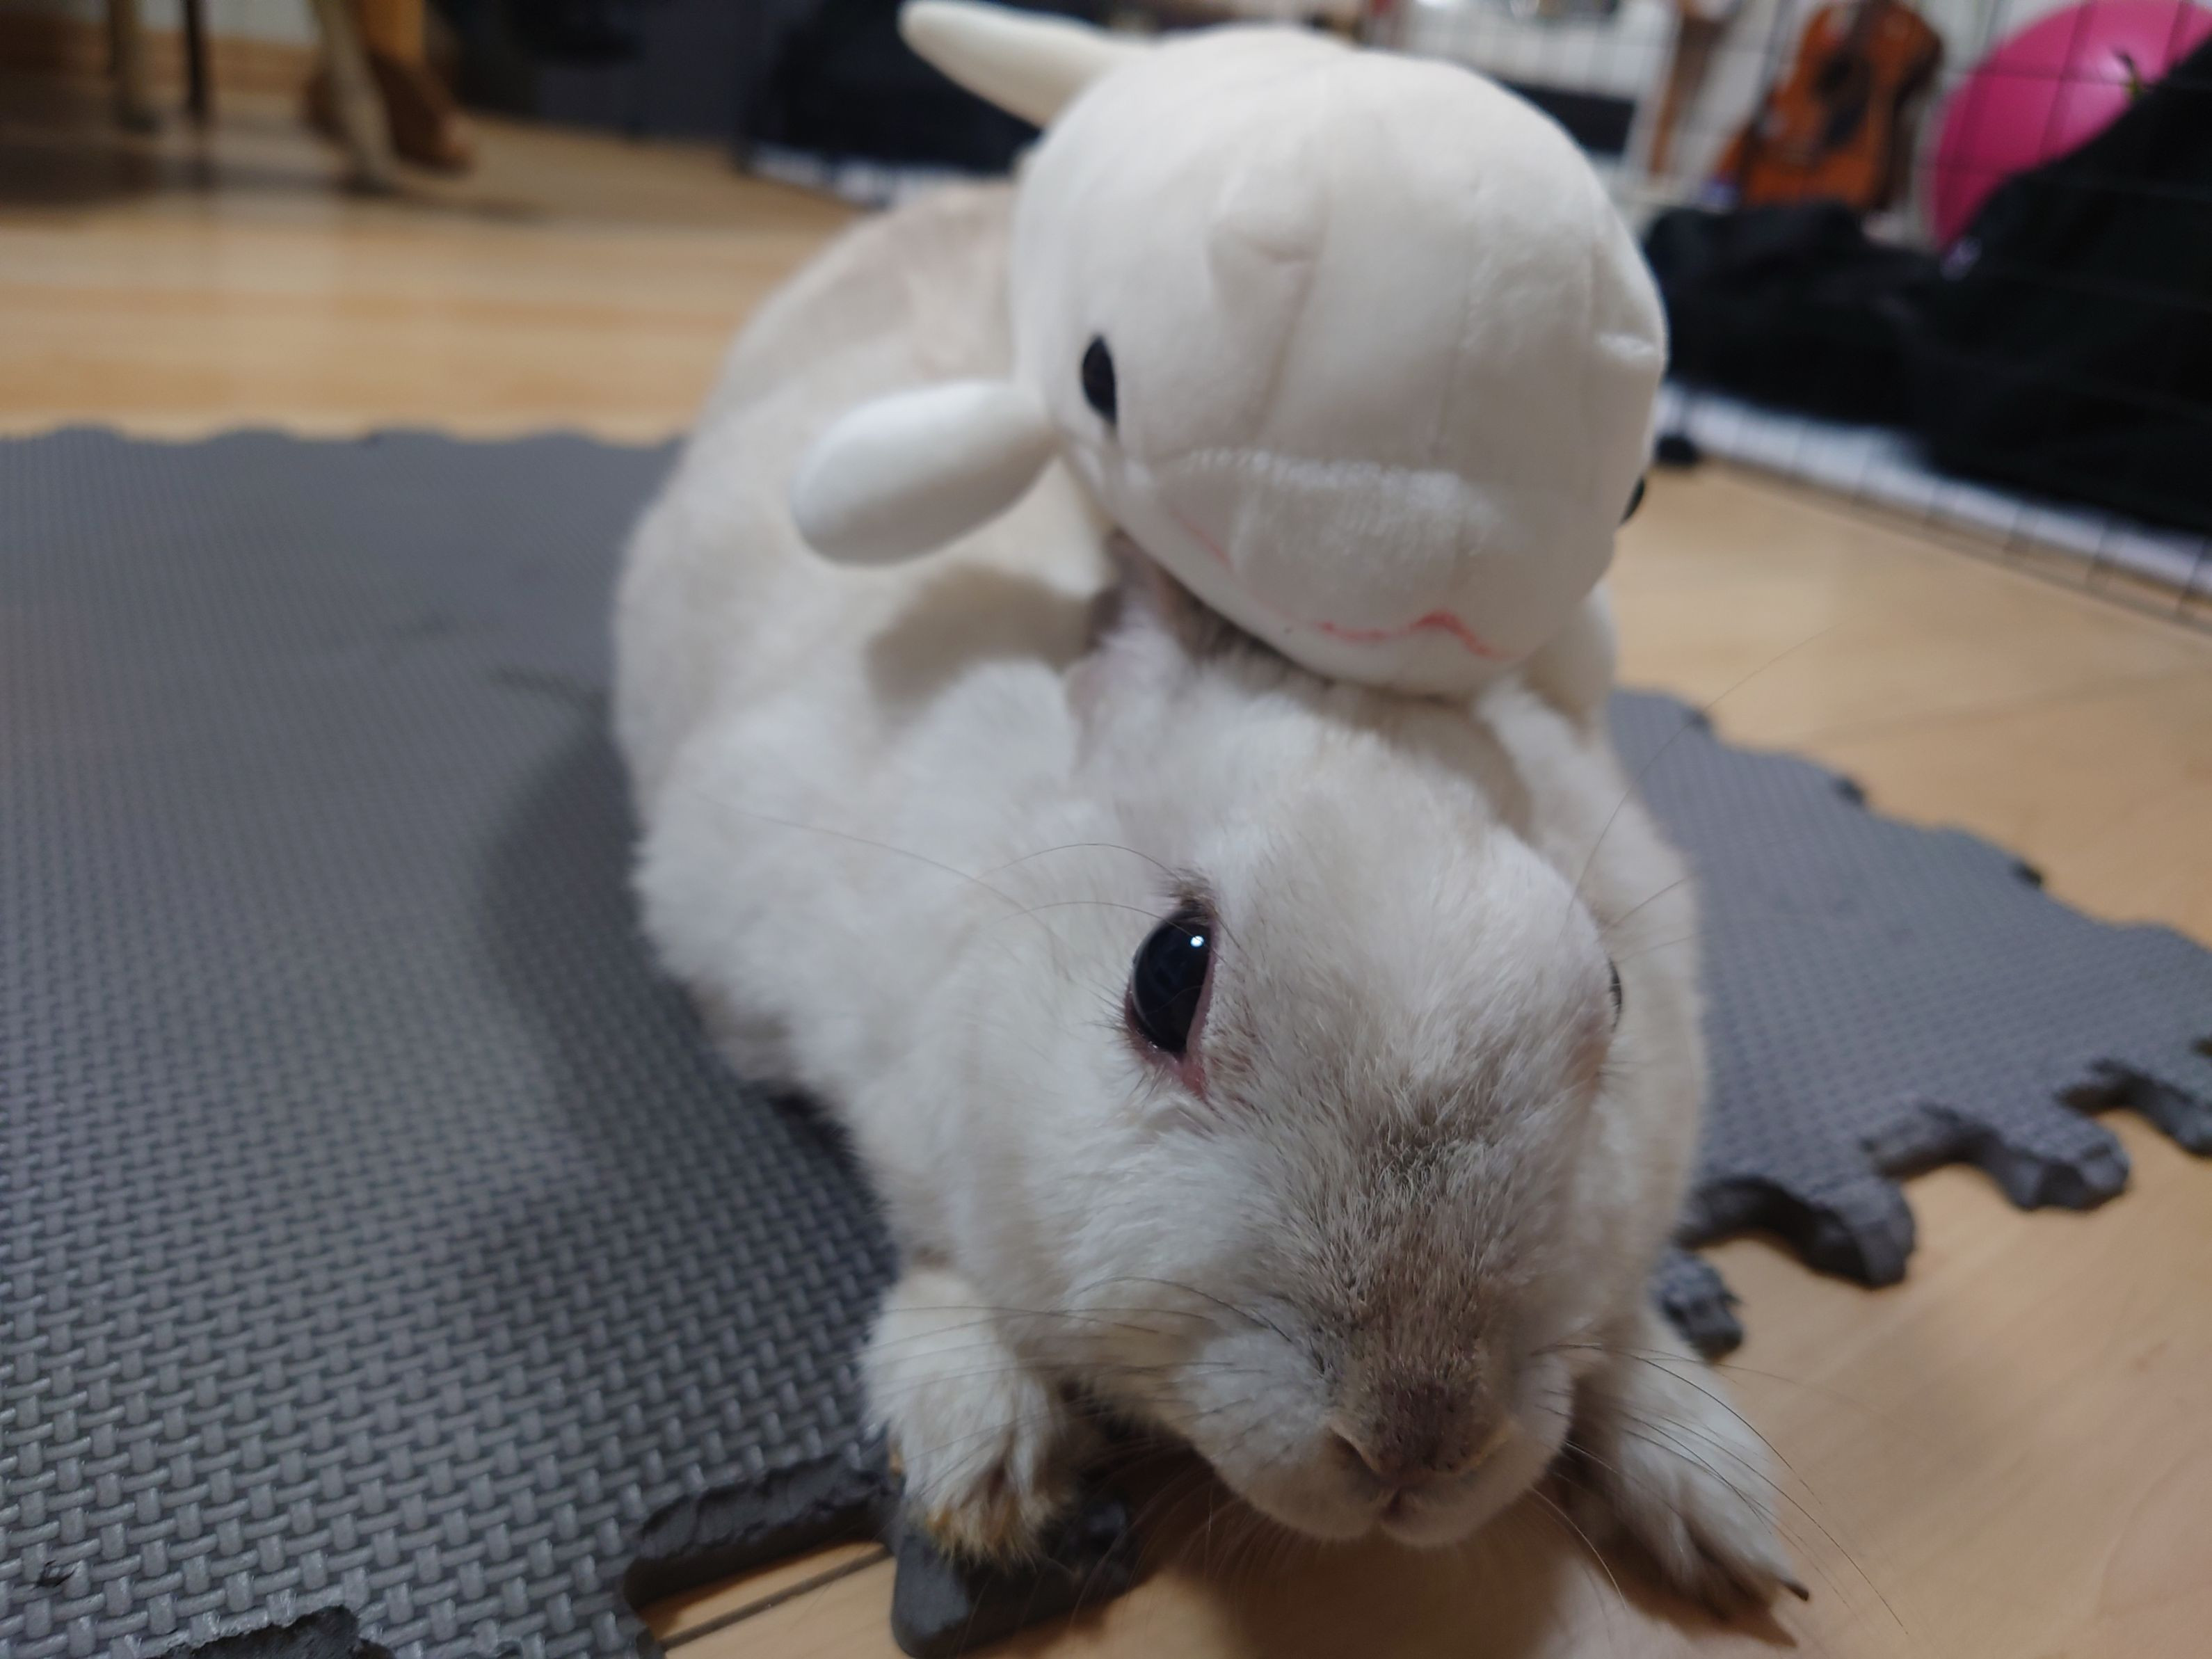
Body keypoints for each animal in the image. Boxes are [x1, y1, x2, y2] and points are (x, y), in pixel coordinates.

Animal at [613, 183, 1795, 1610]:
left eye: (1616, 999)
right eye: (1167, 974)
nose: (1417, 1437)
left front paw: (1719, 1490)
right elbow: (944, 1240)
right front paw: (981, 1460)